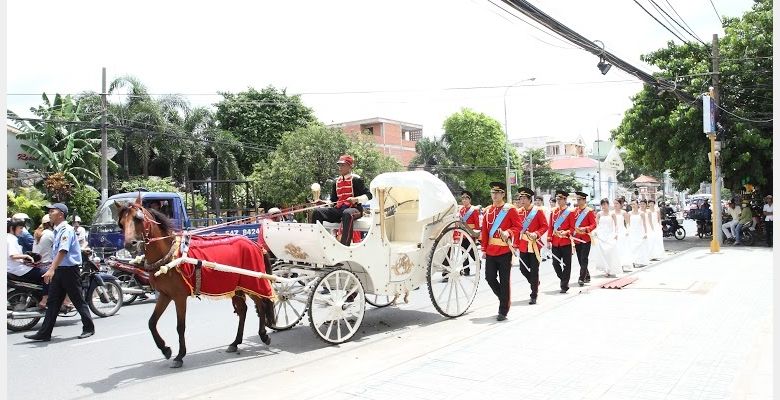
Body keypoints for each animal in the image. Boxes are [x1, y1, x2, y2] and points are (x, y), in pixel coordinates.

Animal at [116, 199, 274, 368]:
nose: (130, 244)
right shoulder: (165, 295)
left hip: (252, 283)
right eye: (121, 223)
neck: (168, 255)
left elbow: (180, 326)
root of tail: (255, 244)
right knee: (243, 310)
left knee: (261, 305)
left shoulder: (179, 297)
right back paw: (235, 342)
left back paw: (263, 335)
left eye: (138, 218)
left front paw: (179, 355)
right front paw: (165, 349)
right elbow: (152, 322)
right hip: (237, 287)